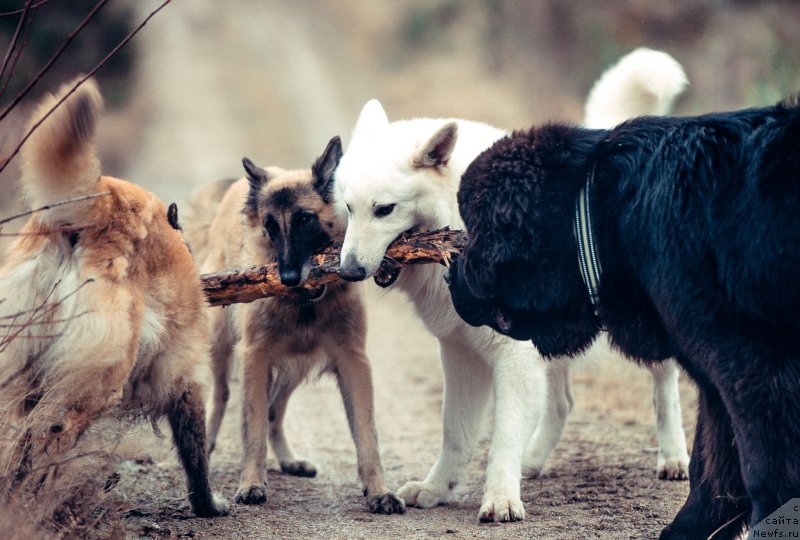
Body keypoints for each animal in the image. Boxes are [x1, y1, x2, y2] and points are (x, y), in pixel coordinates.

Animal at [0, 78, 230, 516]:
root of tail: (101, 201)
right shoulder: (188, 379)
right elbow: (196, 456)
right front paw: (208, 504)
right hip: (100, 382)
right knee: (44, 435)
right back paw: (28, 503)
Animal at [188, 137, 406, 512]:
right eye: (271, 226)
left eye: (306, 219)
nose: (288, 278)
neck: (306, 305)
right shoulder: (256, 357)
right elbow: (253, 427)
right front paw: (251, 483)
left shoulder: (352, 360)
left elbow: (367, 433)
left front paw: (379, 490)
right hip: (222, 348)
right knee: (222, 396)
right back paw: (210, 446)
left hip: (295, 366)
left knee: (275, 409)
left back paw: (289, 459)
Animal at [334, 48, 692, 520]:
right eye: (348, 208)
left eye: (384, 210)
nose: (349, 271)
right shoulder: (461, 354)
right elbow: (456, 433)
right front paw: (437, 488)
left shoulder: (513, 358)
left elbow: (501, 437)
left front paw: (501, 499)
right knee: (561, 404)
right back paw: (533, 462)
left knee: (665, 387)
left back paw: (674, 458)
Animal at [450, 98, 800, 540]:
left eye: (474, 231)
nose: (448, 274)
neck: (600, 213)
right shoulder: (717, 374)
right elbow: (715, 466)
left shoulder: (750, 370)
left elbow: (762, 471)